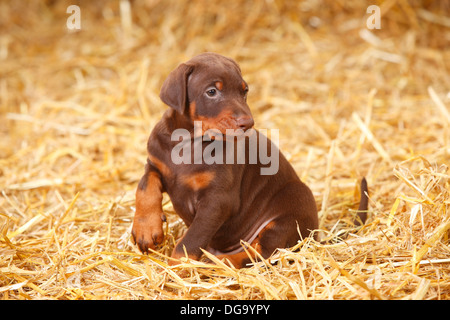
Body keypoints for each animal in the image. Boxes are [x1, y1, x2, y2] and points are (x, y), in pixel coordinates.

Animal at [131, 52, 370, 268]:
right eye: (212, 91)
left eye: (244, 91)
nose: (248, 123)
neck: (190, 141)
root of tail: (315, 236)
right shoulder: (155, 164)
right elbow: (145, 188)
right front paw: (146, 229)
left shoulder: (218, 200)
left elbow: (191, 240)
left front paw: (177, 269)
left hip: (289, 209)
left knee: (259, 254)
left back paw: (216, 265)